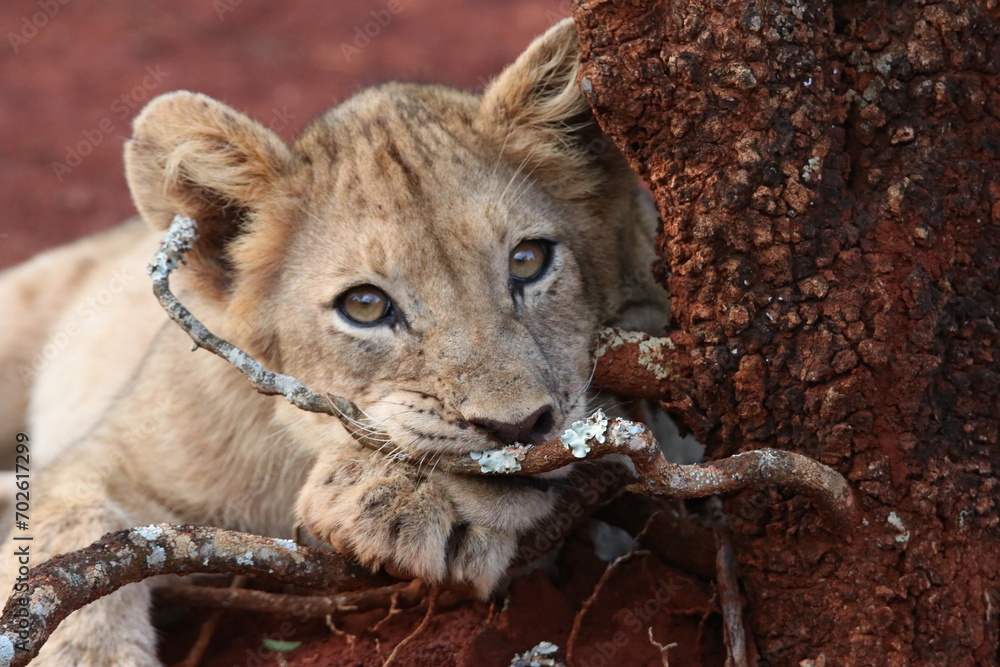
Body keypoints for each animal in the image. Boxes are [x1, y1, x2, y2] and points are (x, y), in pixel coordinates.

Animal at [0, 19, 674, 665]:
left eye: (528, 261)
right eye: (365, 306)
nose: (517, 428)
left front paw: (401, 499)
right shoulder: (101, 461)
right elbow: (69, 545)